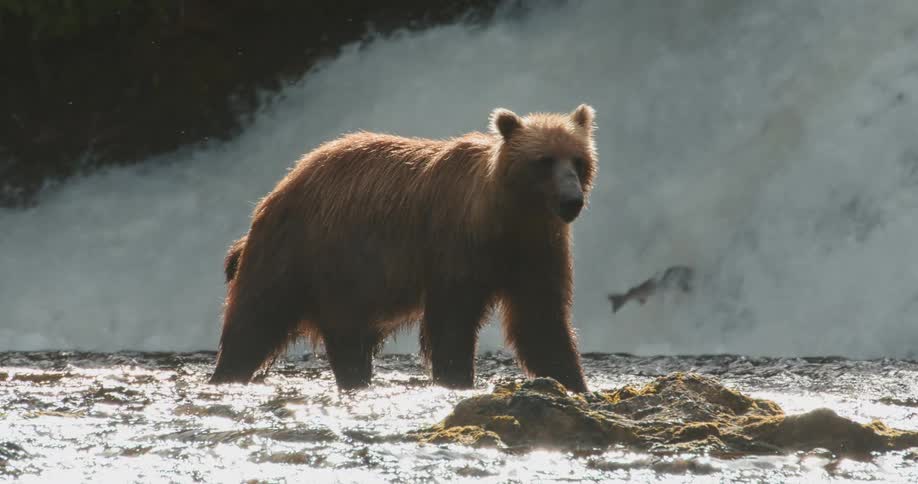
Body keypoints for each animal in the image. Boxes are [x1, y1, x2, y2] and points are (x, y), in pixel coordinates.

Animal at [209, 104, 599, 393]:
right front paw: (456, 378)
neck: (508, 218)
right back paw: (227, 373)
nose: (571, 201)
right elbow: (451, 321)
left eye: (578, 160)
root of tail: (284, 182)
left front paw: (573, 382)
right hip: (308, 251)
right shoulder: (457, 245)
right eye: (544, 160)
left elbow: (541, 321)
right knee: (256, 319)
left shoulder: (535, 250)